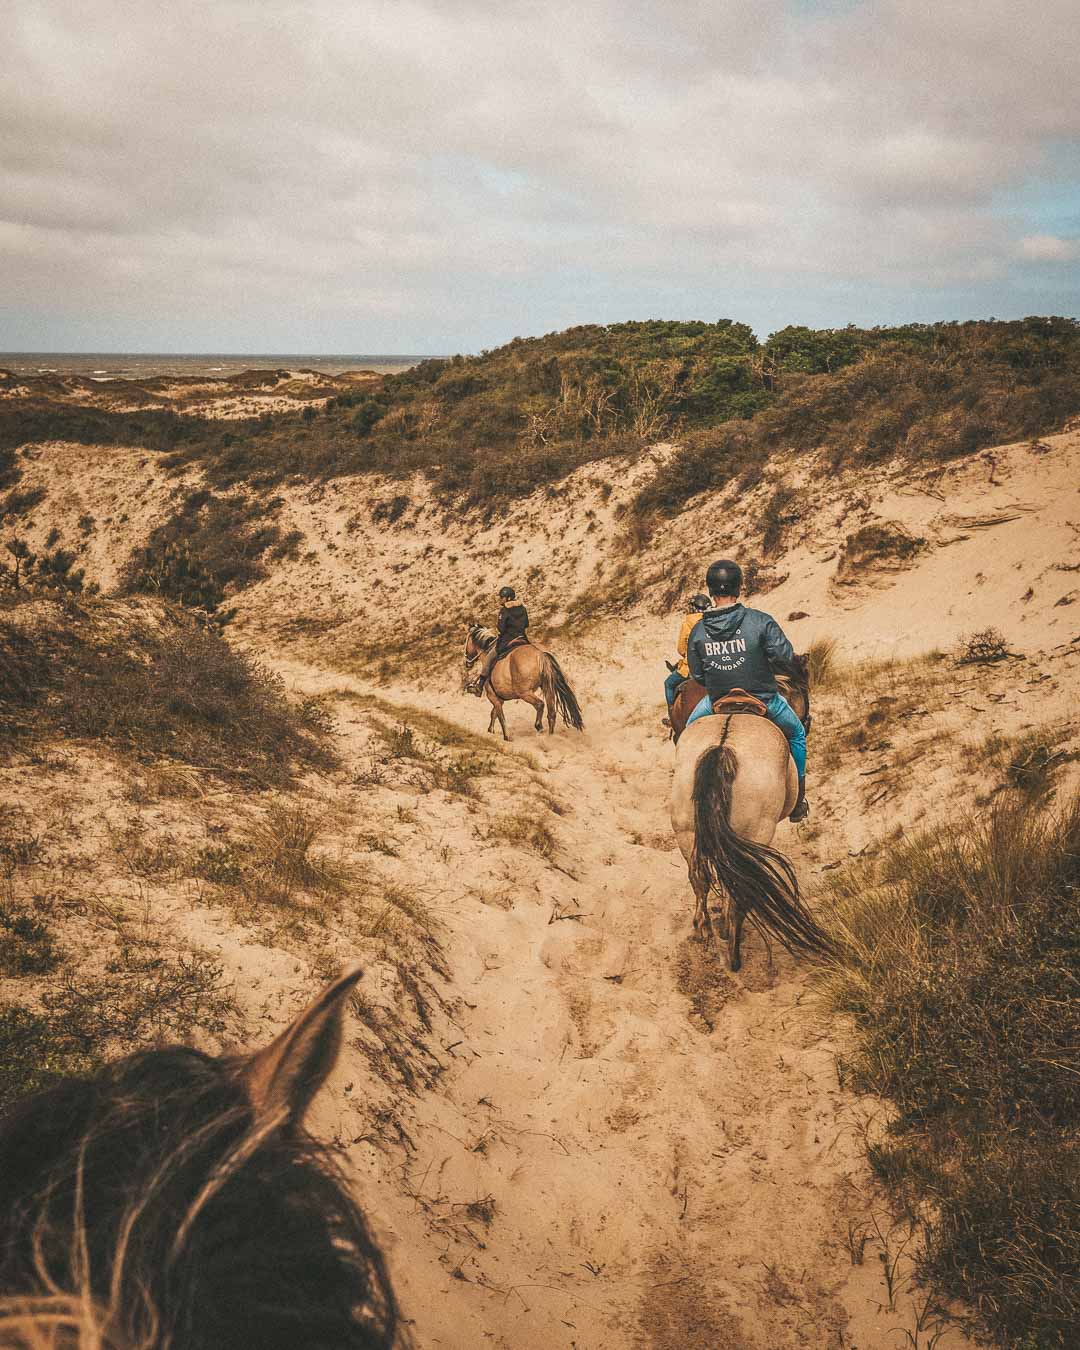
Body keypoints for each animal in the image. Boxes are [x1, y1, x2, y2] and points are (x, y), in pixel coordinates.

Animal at [666, 661, 826, 972]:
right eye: (805, 690)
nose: (809, 721)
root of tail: (721, 749)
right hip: (756, 834)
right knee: (739, 886)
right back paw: (734, 950)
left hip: (686, 832)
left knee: (699, 878)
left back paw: (704, 929)